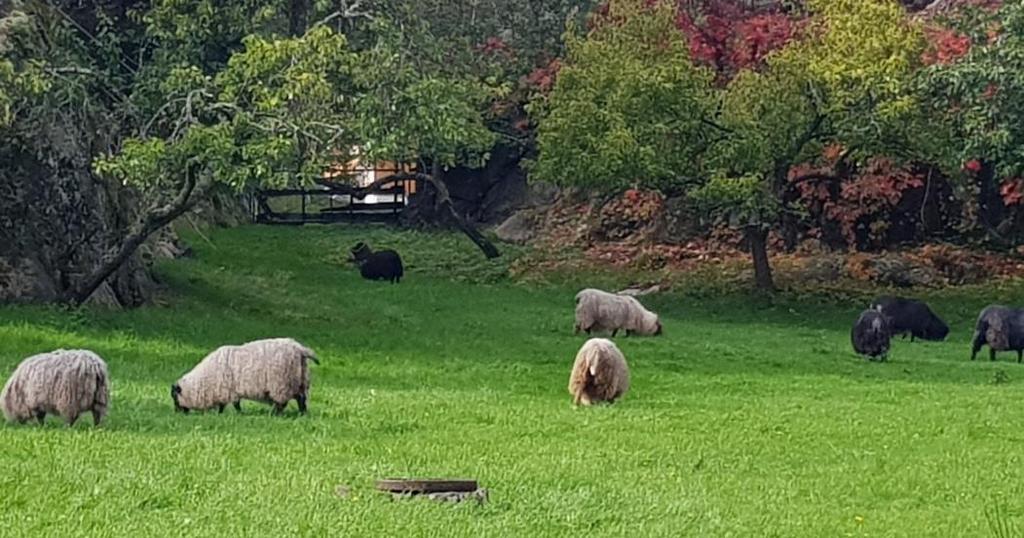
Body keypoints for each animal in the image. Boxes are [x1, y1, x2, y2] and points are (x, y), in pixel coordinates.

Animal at [171, 336, 319, 416]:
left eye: (175, 397)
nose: (177, 414)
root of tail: (299, 349)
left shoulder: (227, 390)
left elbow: (232, 404)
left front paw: (234, 413)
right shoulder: (227, 391)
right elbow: (229, 404)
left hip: (281, 384)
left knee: (282, 403)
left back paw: (274, 414)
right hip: (300, 381)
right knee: (301, 399)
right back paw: (302, 414)